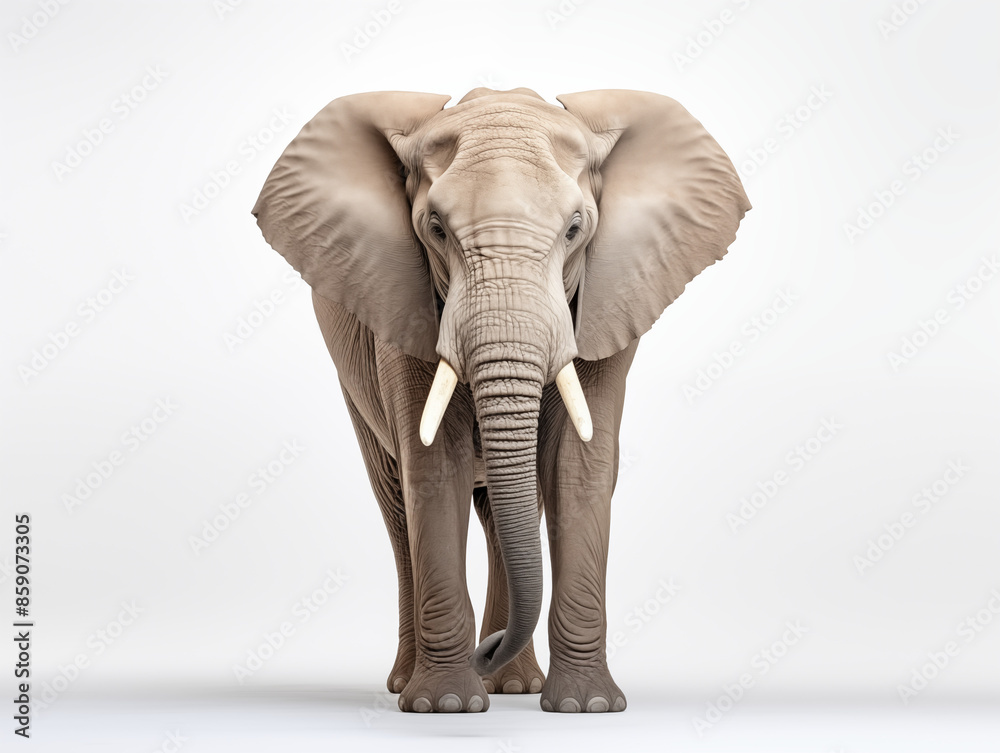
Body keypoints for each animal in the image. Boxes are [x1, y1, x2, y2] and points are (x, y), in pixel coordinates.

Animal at [251, 87, 749, 713]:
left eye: (575, 229)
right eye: (435, 228)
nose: (484, 651)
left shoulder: (607, 299)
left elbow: (577, 467)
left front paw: (586, 707)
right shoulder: (403, 304)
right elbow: (433, 467)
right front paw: (445, 705)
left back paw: (513, 685)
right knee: (396, 505)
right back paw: (411, 683)